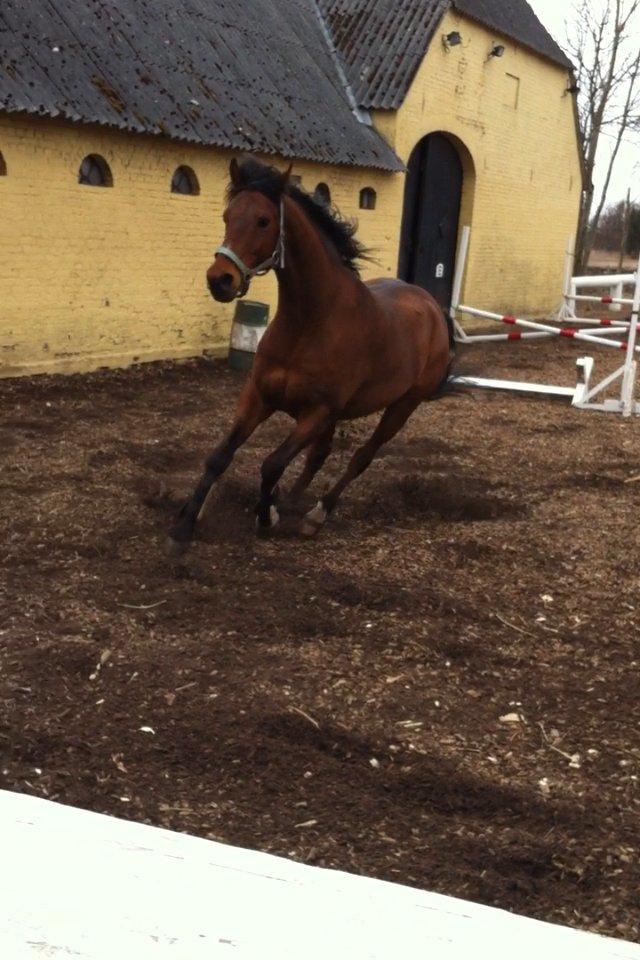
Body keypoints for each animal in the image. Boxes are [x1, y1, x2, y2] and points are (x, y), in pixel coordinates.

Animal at [168, 157, 453, 554]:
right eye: (227, 216)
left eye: (263, 220)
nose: (220, 280)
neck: (310, 321)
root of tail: (430, 305)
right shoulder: (259, 396)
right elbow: (220, 456)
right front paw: (183, 528)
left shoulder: (316, 412)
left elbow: (272, 464)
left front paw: (265, 517)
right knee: (320, 454)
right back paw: (288, 502)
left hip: (401, 406)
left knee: (362, 457)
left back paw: (315, 515)